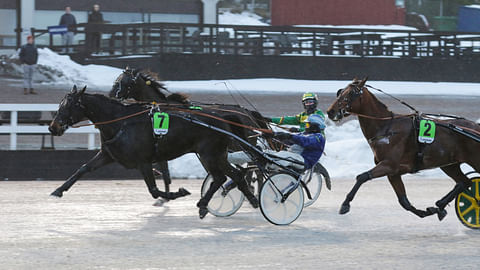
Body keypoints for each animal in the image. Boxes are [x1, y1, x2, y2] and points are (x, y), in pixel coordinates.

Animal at [48, 85, 258, 218]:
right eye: (60, 104)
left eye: (69, 105)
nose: (53, 127)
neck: (122, 122)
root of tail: (224, 117)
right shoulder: (108, 154)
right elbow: (83, 168)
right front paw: (58, 190)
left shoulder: (144, 161)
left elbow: (154, 190)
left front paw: (177, 193)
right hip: (219, 155)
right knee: (236, 175)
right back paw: (253, 199)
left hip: (209, 154)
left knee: (220, 177)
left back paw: (203, 205)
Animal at [326, 78, 480, 221]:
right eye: (340, 92)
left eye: (351, 93)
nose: (330, 111)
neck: (386, 128)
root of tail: (475, 127)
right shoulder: (393, 172)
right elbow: (404, 201)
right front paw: (428, 211)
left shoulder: (389, 164)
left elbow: (362, 177)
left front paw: (345, 204)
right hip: (449, 165)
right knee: (465, 182)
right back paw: (440, 204)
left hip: (474, 161)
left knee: (465, 182)